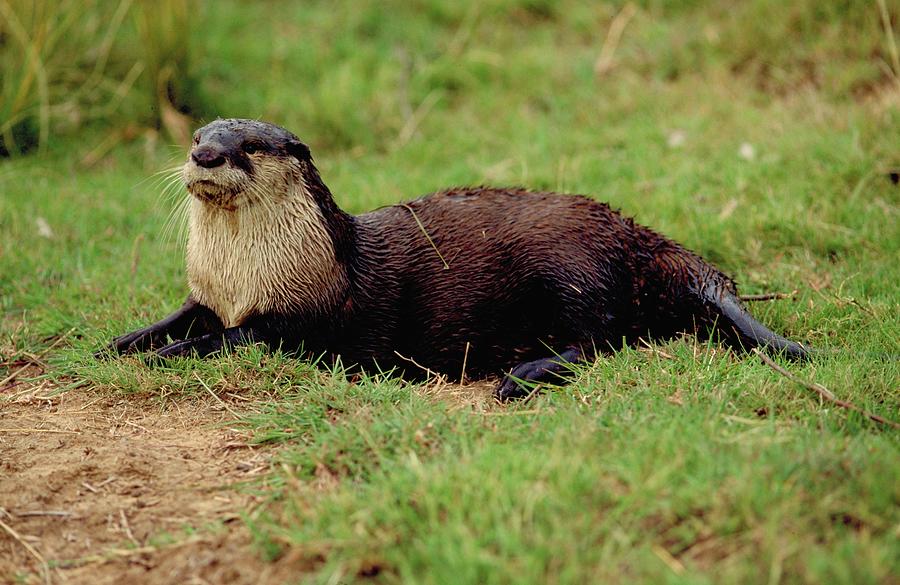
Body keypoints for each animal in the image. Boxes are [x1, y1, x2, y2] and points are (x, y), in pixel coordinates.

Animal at [109, 120, 812, 402]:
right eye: (197, 135)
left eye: (251, 145)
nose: (205, 156)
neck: (245, 277)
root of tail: (633, 233)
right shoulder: (208, 293)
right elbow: (182, 316)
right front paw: (124, 340)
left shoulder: (302, 314)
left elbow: (231, 339)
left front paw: (169, 354)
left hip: (572, 271)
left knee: (601, 340)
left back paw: (520, 375)